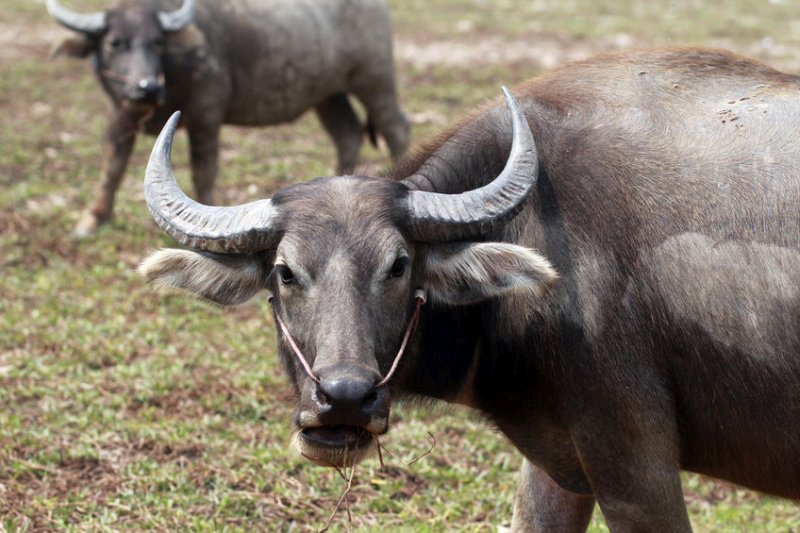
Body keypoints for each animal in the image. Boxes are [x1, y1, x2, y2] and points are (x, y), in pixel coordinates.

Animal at [47, 0, 410, 235]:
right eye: (114, 42)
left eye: (157, 41)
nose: (146, 88)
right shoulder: (119, 116)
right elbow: (112, 168)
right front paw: (93, 219)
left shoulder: (206, 117)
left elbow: (203, 172)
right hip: (328, 95)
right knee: (347, 132)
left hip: (375, 80)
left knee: (396, 127)